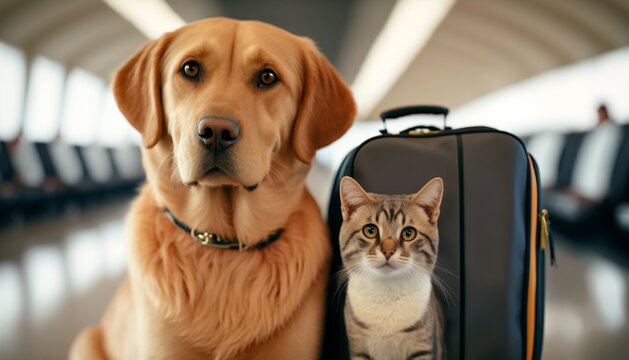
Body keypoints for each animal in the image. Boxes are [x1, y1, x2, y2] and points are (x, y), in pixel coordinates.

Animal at [338, 177, 446, 360]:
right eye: (370, 230)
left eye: (408, 233)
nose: (387, 252)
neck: (386, 292)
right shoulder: (359, 349)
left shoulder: (424, 347)